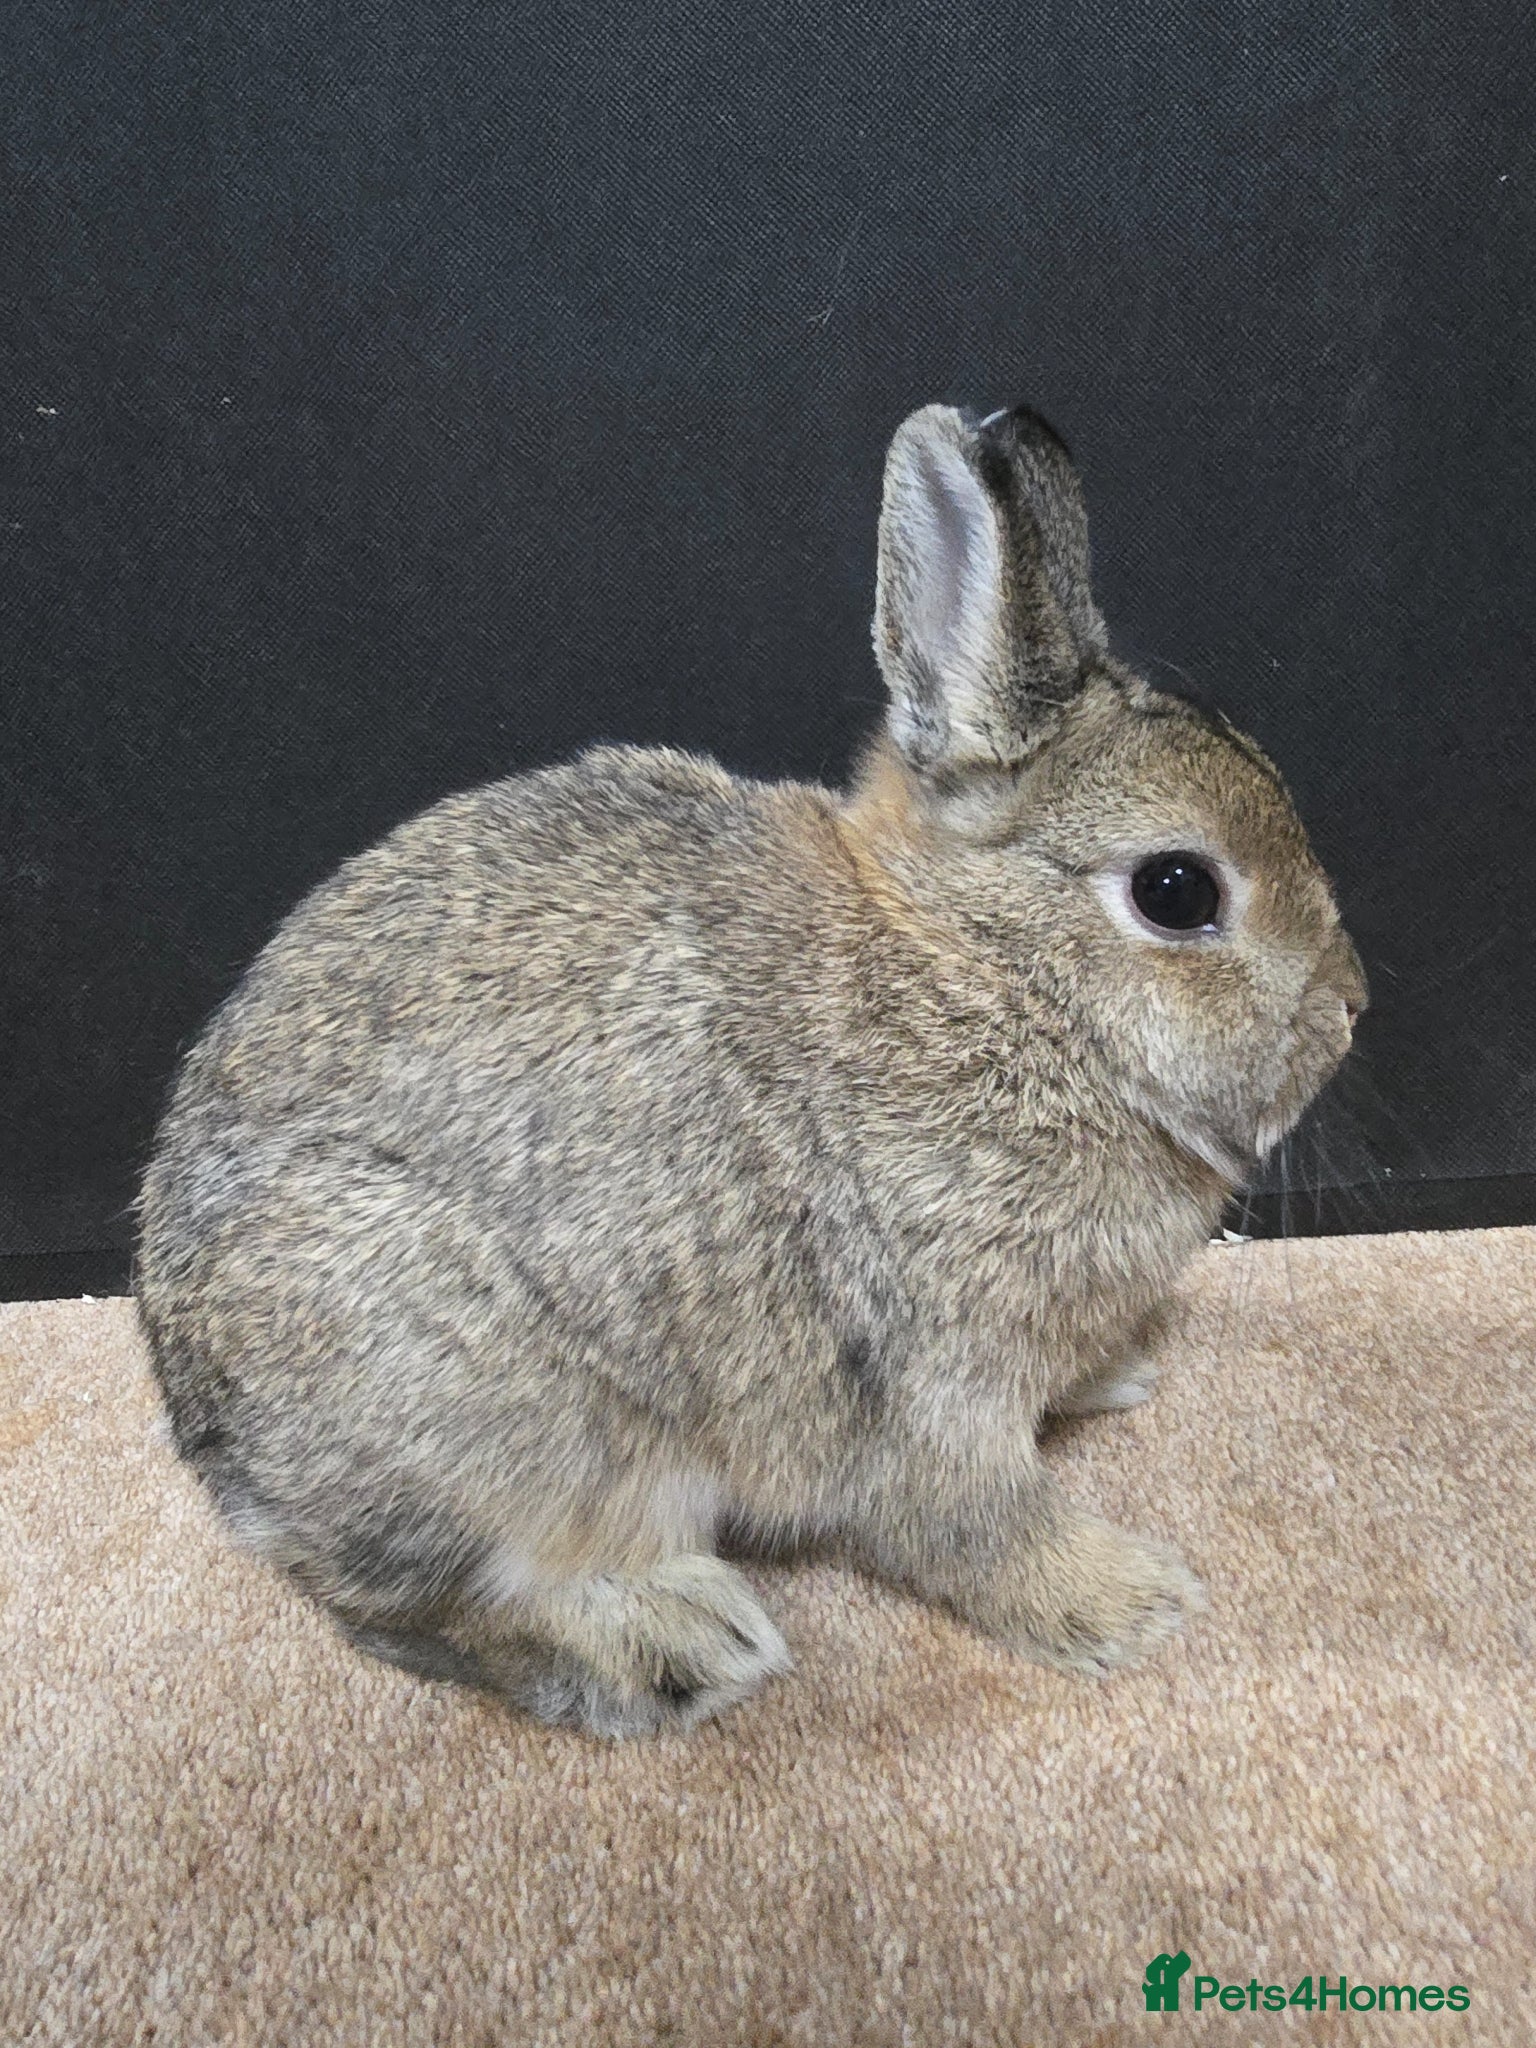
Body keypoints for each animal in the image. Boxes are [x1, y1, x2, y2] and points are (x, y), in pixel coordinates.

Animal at [135, 401, 1367, 1737]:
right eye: (1177, 890)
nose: (1352, 1006)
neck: (993, 978)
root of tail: (218, 1445)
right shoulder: (928, 1367)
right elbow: (975, 1522)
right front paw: (1133, 1602)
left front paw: (1119, 1375)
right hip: (494, 1419)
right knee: (426, 1610)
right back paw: (678, 1641)